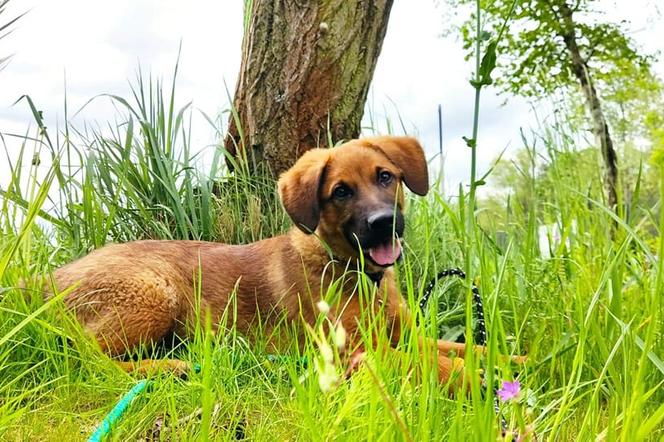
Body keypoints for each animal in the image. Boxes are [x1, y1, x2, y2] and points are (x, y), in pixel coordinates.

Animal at [50, 136, 478, 386]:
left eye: (385, 177)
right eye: (341, 192)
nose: (383, 223)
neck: (355, 273)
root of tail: (47, 280)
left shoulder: (404, 336)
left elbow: (462, 348)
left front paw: (493, 357)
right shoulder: (355, 352)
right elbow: (438, 364)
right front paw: (481, 380)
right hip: (153, 292)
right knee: (87, 359)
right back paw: (166, 368)